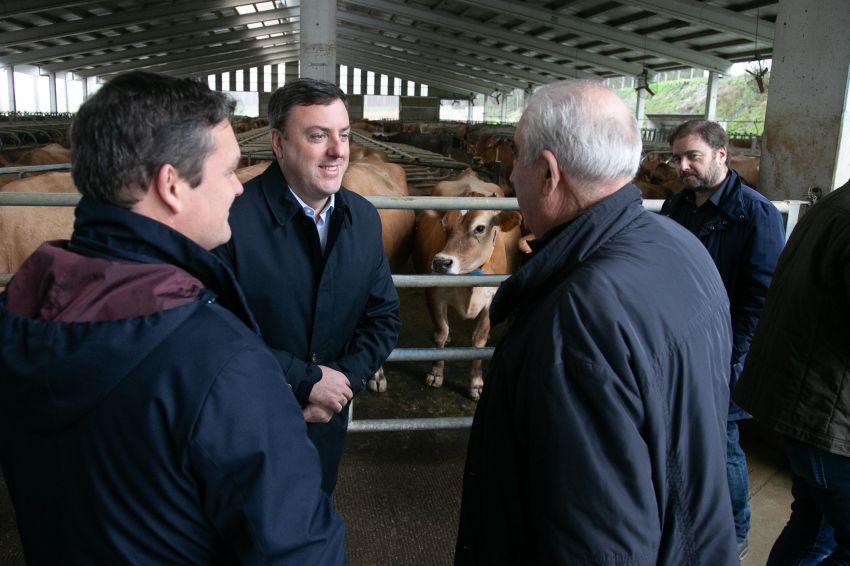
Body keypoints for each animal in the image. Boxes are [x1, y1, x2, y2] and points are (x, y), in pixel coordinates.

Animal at [412, 173, 524, 400]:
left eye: (480, 228)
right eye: (444, 226)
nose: (441, 262)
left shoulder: (492, 299)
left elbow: (478, 341)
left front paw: (476, 383)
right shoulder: (434, 294)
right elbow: (441, 331)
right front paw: (436, 372)